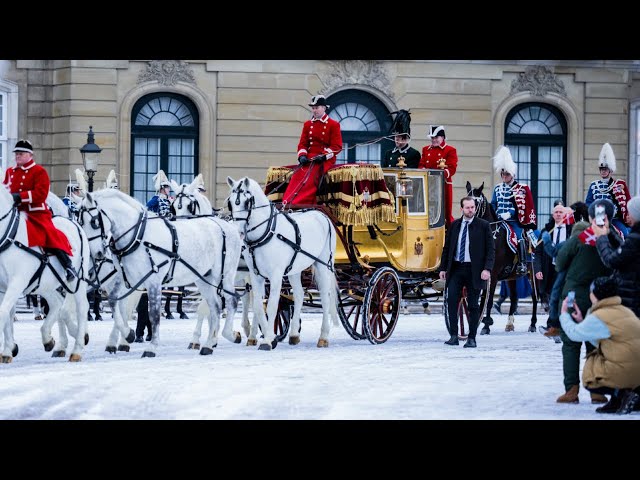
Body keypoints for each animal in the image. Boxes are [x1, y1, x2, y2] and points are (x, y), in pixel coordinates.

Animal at [0, 174, 90, 362]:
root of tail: (73, 223)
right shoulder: (3, 287)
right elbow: (7, 314)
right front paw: (8, 350)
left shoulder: (17, 282)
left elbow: (3, 312)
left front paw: (8, 349)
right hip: (45, 284)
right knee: (57, 304)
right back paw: (50, 338)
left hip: (77, 281)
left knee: (81, 308)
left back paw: (77, 348)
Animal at [77, 188, 241, 356]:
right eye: (80, 222)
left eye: (94, 222)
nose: (95, 253)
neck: (139, 237)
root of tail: (228, 227)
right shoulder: (126, 280)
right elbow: (115, 303)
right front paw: (128, 334)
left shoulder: (153, 282)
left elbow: (154, 314)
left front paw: (151, 347)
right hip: (203, 278)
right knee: (215, 306)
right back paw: (208, 344)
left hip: (225, 275)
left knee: (231, 301)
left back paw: (229, 334)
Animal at [171, 174, 254, 346]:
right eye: (173, 206)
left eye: (190, 206)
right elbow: (209, 307)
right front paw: (209, 337)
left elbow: (205, 307)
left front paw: (202, 338)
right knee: (247, 297)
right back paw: (247, 328)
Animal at [225, 176, 338, 348]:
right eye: (230, 202)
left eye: (246, 202)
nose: (237, 232)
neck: (266, 233)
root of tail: (323, 216)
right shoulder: (255, 275)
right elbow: (258, 306)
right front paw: (268, 336)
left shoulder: (276, 275)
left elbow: (272, 305)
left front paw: (267, 340)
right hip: (294, 270)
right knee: (299, 294)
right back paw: (294, 334)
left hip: (323, 264)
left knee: (326, 297)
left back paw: (323, 337)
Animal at [464, 180, 540, 334]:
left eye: (476, 202)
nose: (468, 216)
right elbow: (482, 299)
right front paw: (479, 322)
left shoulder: (492, 274)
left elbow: (489, 300)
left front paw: (486, 325)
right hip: (512, 277)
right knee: (514, 297)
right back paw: (510, 324)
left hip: (532, 273)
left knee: (535, 297)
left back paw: (533, 324)